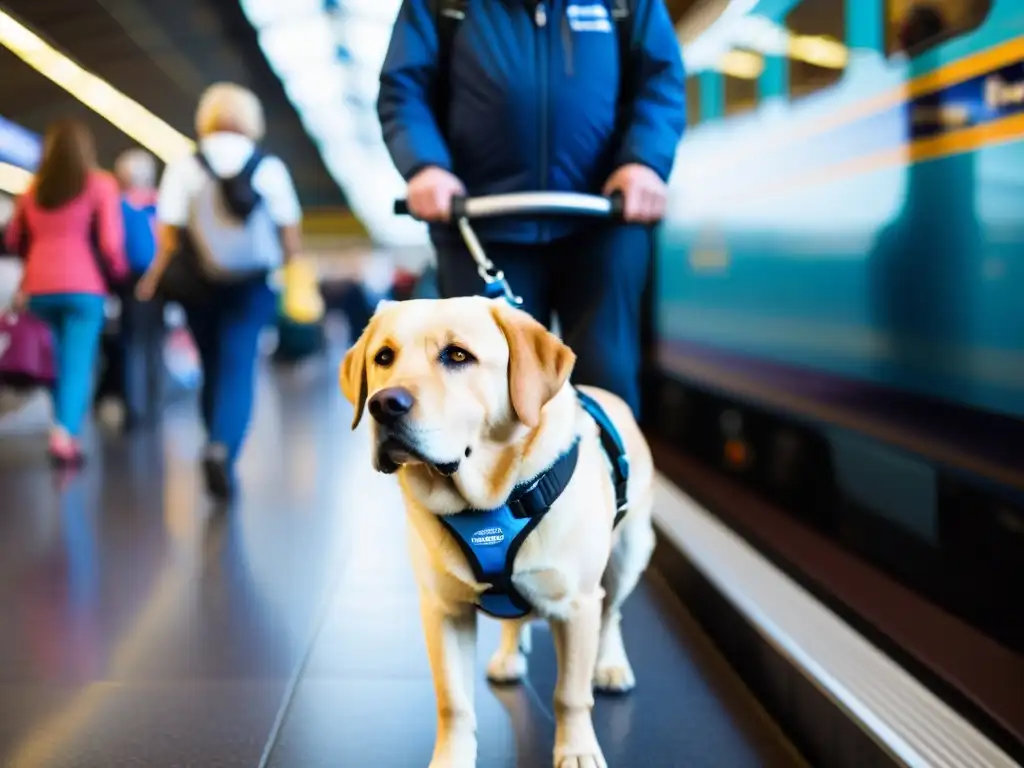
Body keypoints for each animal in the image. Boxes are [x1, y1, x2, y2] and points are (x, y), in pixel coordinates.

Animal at [339, 296, 651, 768]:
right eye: (384, 357)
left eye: (457, 356)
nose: (383, 404)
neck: (485, 502)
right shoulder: (443, 611)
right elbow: (453, 702)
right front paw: (451, 759)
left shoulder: (577, 605)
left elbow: (570, 695)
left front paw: (577, 749)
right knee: (515, 618)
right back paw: (508, 654)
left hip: (627, 556)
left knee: (612, 612)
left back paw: (611, 665)